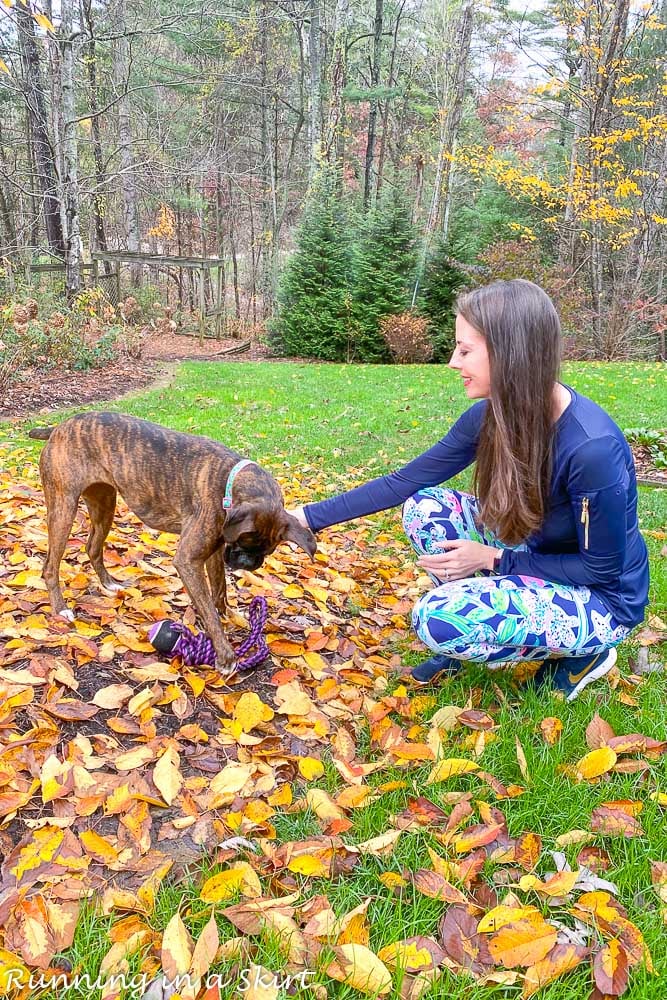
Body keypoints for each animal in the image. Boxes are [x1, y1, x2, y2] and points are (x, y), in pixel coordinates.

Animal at [28, 410, 316, 668]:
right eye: (245, 541)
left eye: (266, 551)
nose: (247, 562)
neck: (227, 479)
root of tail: (59, 428)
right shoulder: (189, 561)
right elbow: (208, 610)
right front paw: (226, 656)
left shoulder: (214, 552)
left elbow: (219, 590)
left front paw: (229, 616)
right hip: (64, 509)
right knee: (50, 566)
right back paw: (61, 608)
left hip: (104, 504)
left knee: (92, 547)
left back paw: (108, 583)